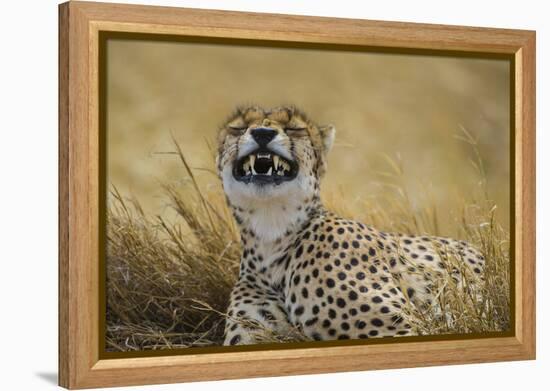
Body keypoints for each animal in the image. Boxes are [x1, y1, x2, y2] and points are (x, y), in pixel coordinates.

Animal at [217, 105, 488, 346]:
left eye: (294, 128)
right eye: (238, 127)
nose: (263, 133)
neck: (271, 234)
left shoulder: (403, 328)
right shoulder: (255, 335)